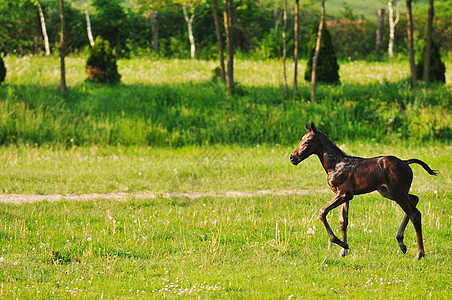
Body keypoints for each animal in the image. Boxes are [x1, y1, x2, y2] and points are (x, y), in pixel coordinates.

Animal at [290, 122, 438, 260]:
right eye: (301, 139)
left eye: (307, 141)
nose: (292, 157)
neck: (335, 164)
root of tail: (406, 162)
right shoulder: (345, 196)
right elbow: (343, 221)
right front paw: (343, 251)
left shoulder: (345, 193)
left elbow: (322, 212)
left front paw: (342, 244)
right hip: (388, 192)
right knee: (414, 199)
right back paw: (401, 243)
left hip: (398, 193)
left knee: (415, 214)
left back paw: (419, 254)